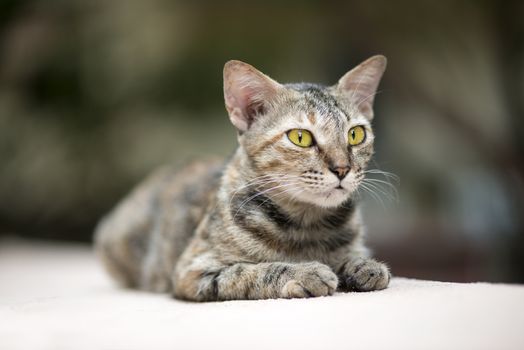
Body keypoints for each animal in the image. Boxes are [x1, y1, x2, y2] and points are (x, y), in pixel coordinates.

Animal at [94, 54, 390, 300]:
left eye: (356, 134)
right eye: (301, 137)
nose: (342, 168)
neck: (307, 226)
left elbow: (352, 256)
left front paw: (363, 265)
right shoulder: (193, 270)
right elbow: (252, 271)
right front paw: (305, 272)